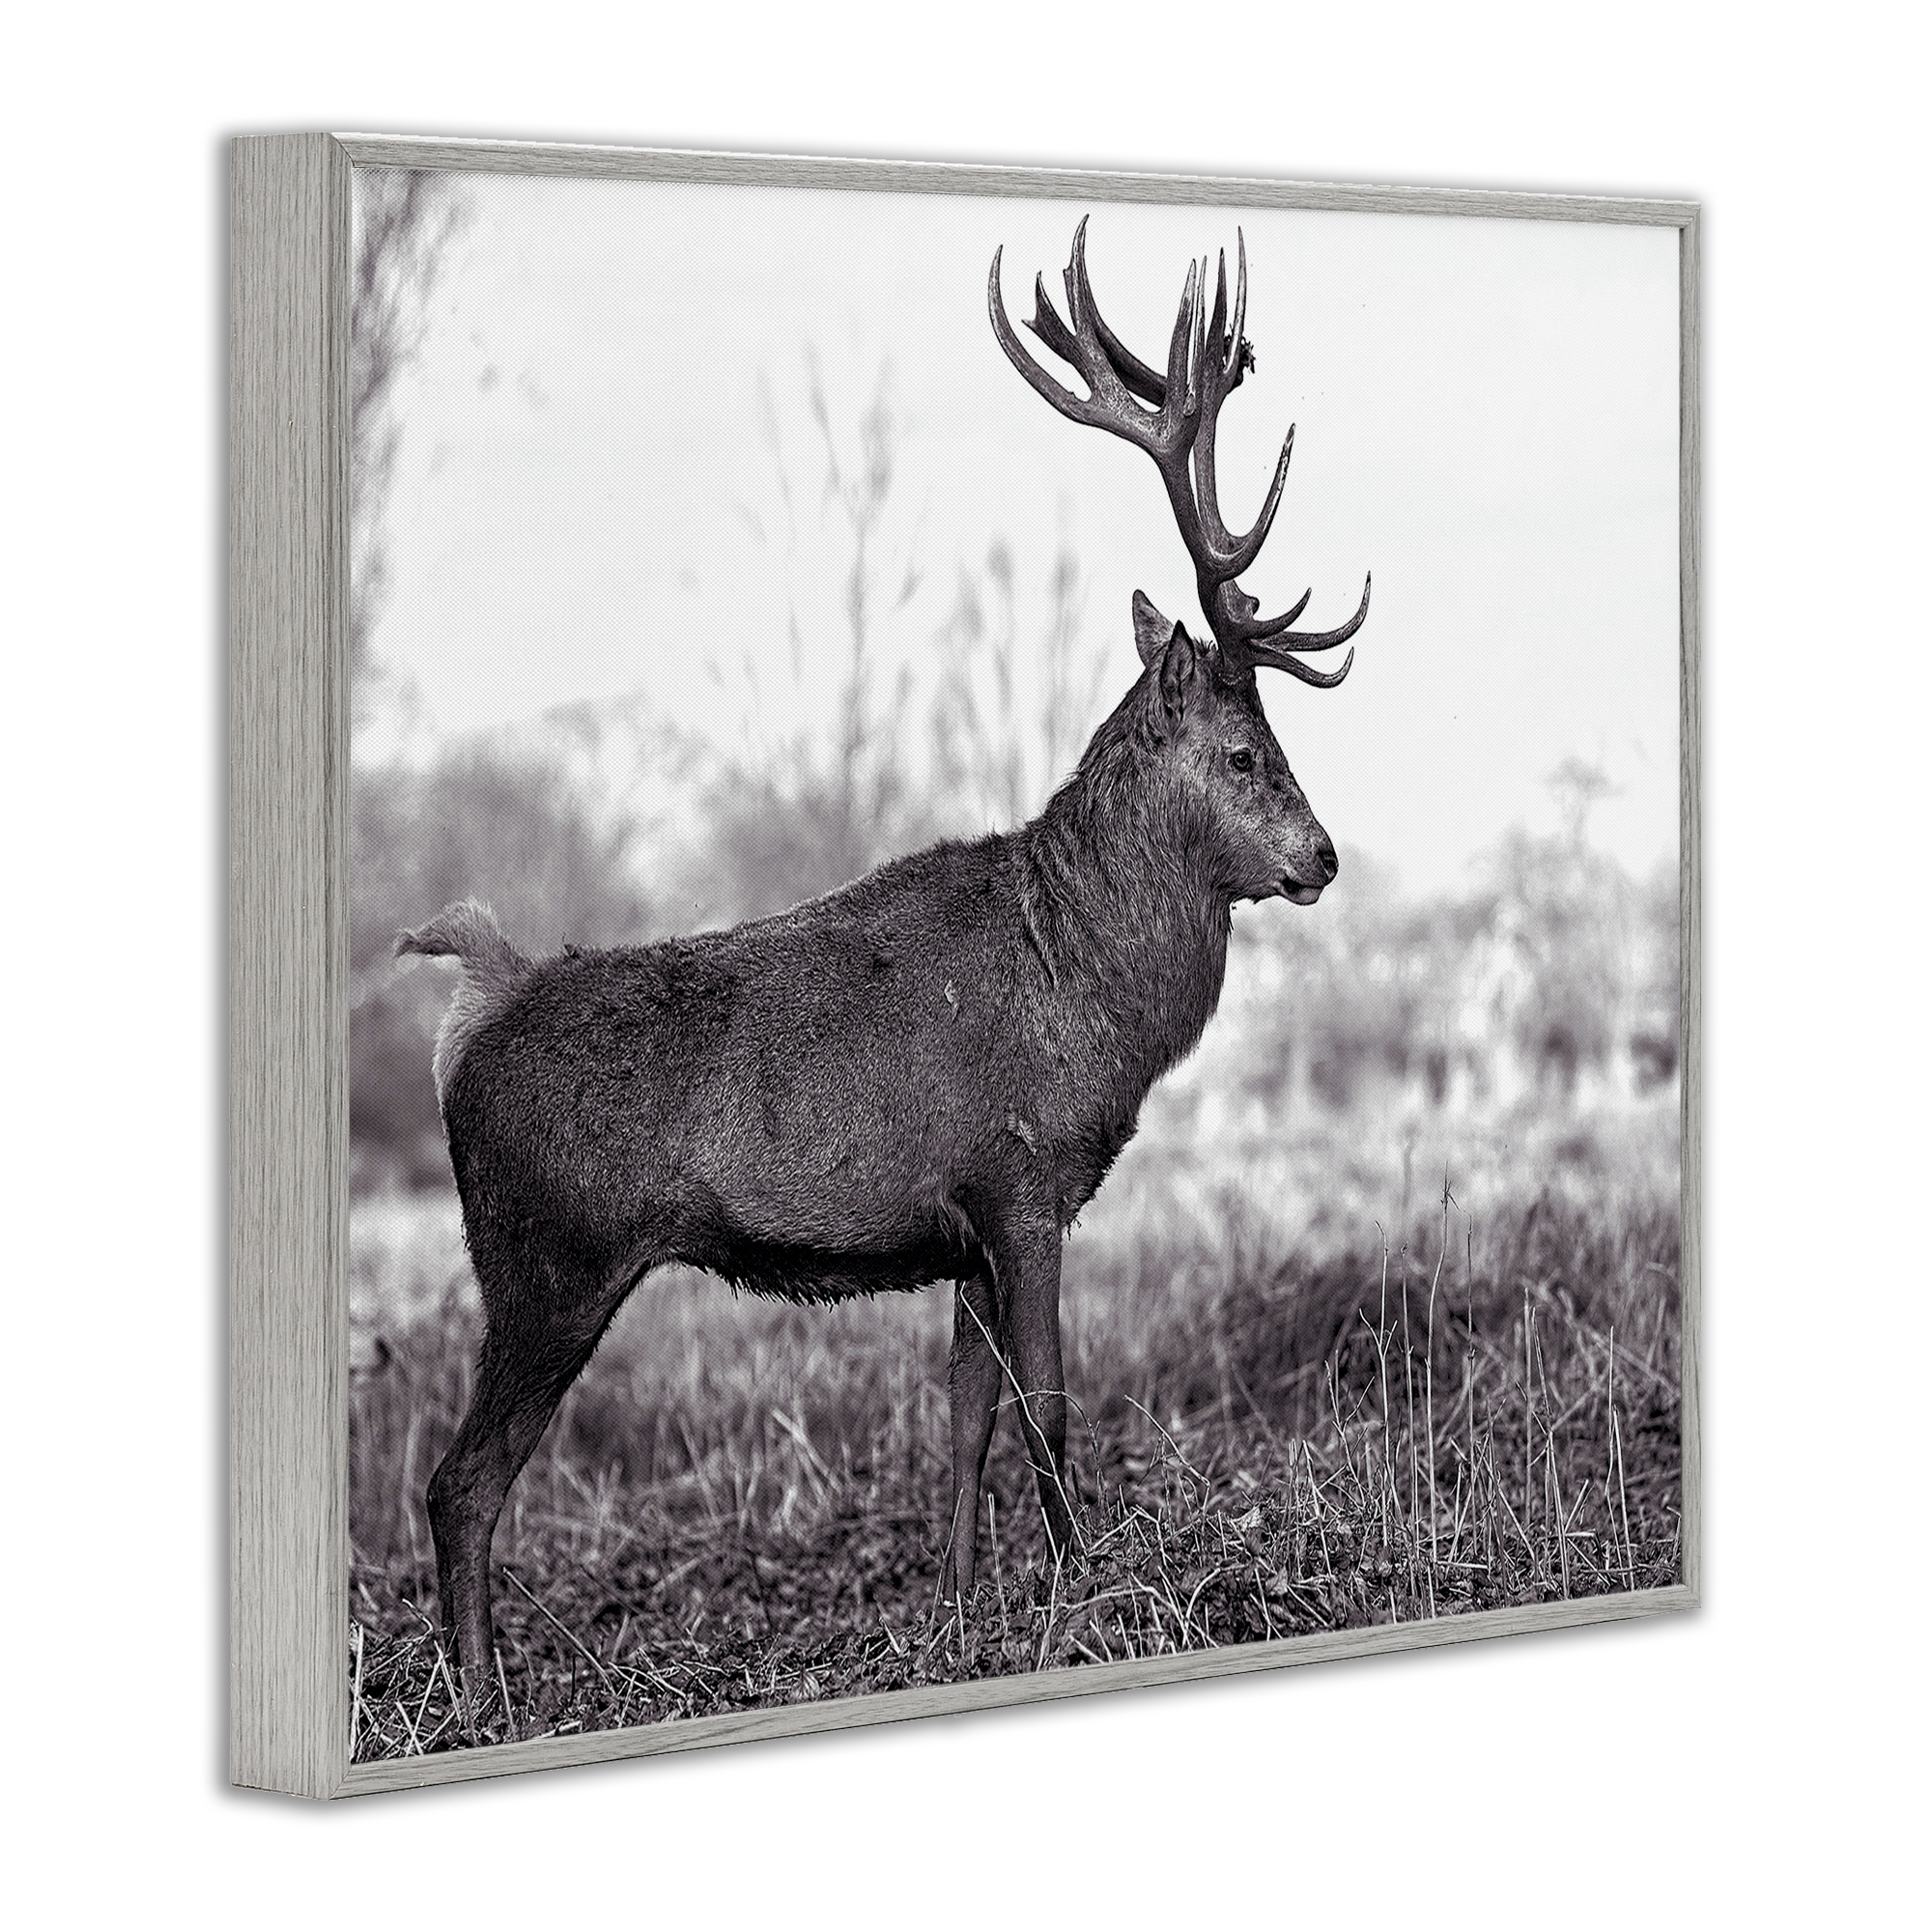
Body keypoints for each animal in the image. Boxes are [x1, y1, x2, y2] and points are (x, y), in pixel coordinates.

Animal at [396, 216, 1370, 1710]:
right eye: (1245, 751)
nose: (1321, 857)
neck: (1089, 995)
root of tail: (472, 1004)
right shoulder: (1023, 1183)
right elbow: (1047, 1405)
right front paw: (1085, 1597)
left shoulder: (960, 1222)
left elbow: (962, 1414)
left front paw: (960, 1613)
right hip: (543, 1257)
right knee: (458, 1483)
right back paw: (482, 1702)